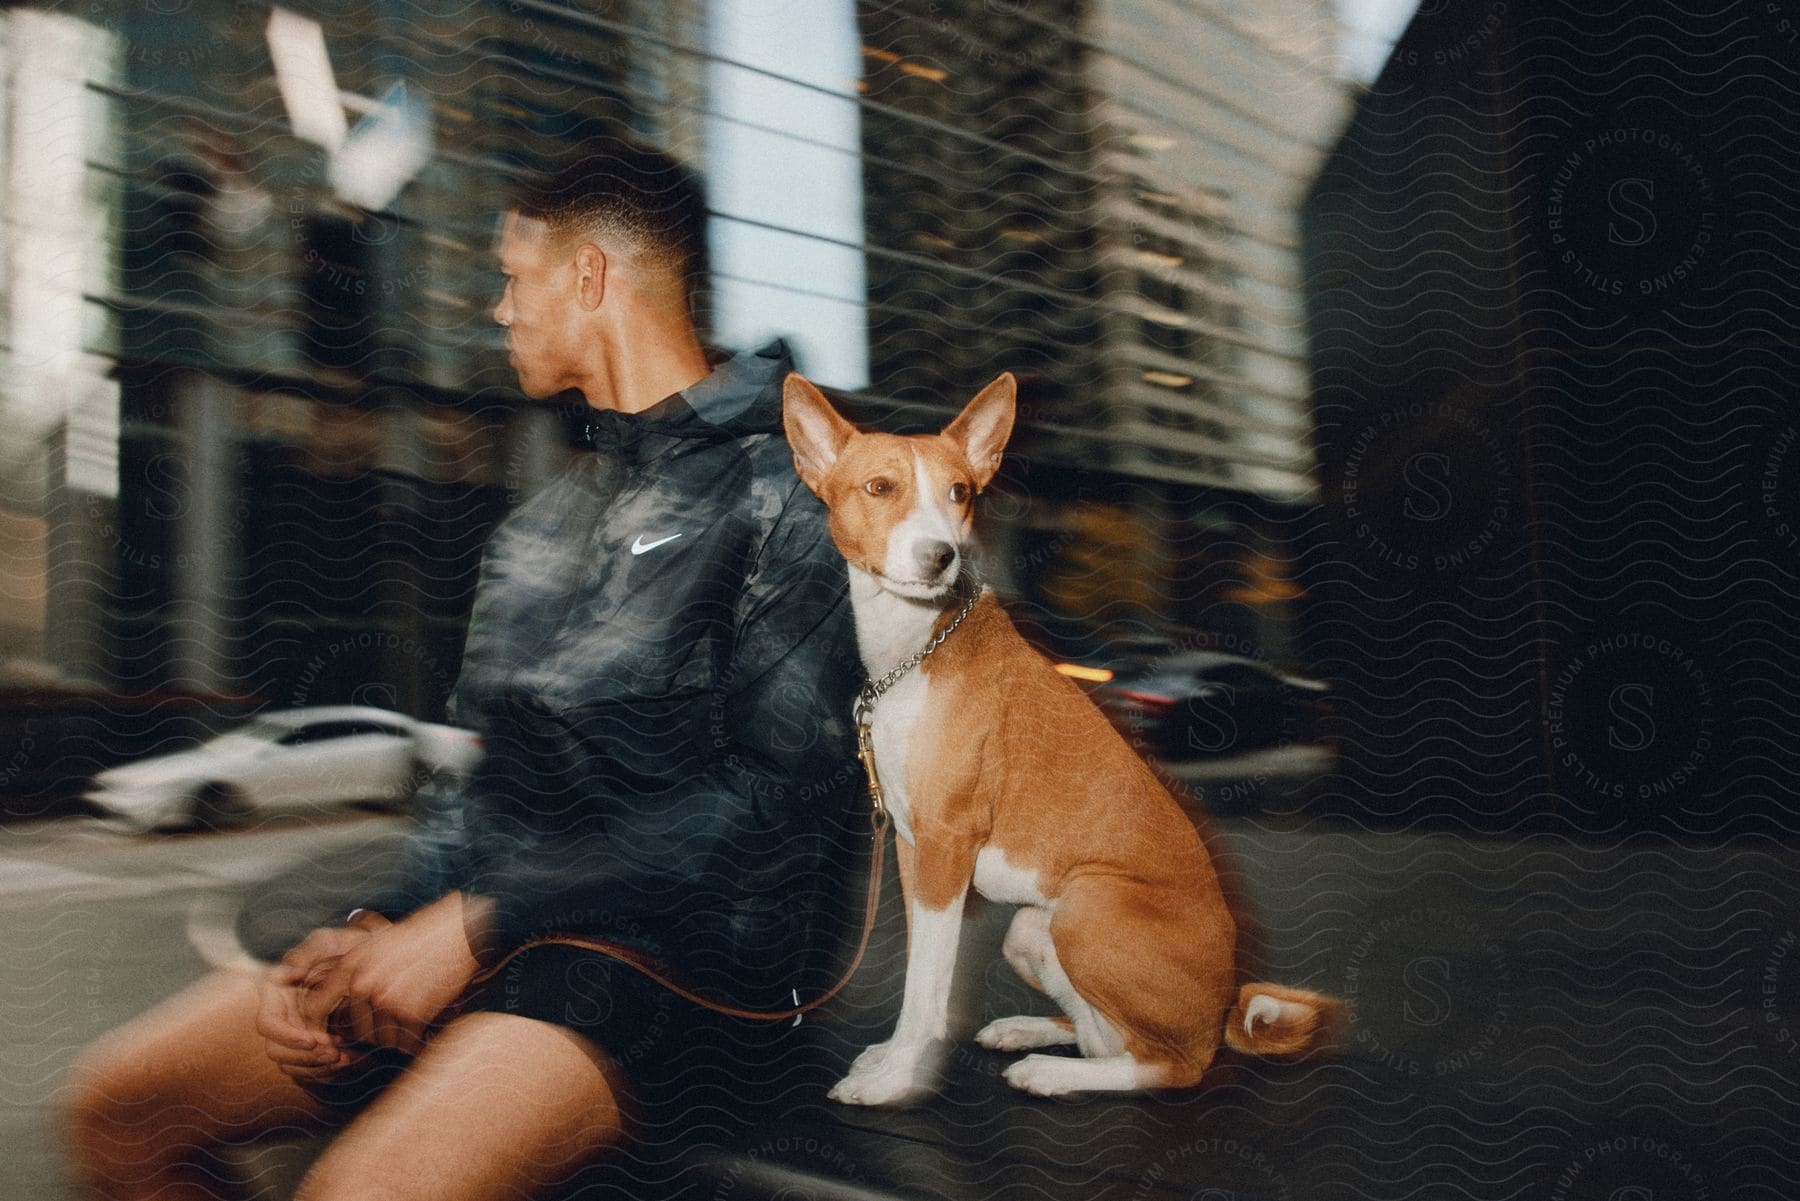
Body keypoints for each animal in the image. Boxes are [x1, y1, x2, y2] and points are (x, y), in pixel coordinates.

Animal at [781, 370, 1346, 1101]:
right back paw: (1031, 1034)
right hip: (1032, 926)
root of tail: (1224, 1007)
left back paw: (1052, 1073)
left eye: (960, 493)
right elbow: (921, 972)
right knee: (1101, 1035)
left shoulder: (944, 848)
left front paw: (896, 1076)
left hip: (1086, 905)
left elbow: (925, 990)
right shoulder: (914, 849)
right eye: (880, 487)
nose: (941, 557)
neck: (918, 650)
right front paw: (890, 1060)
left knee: (1171, 1064)